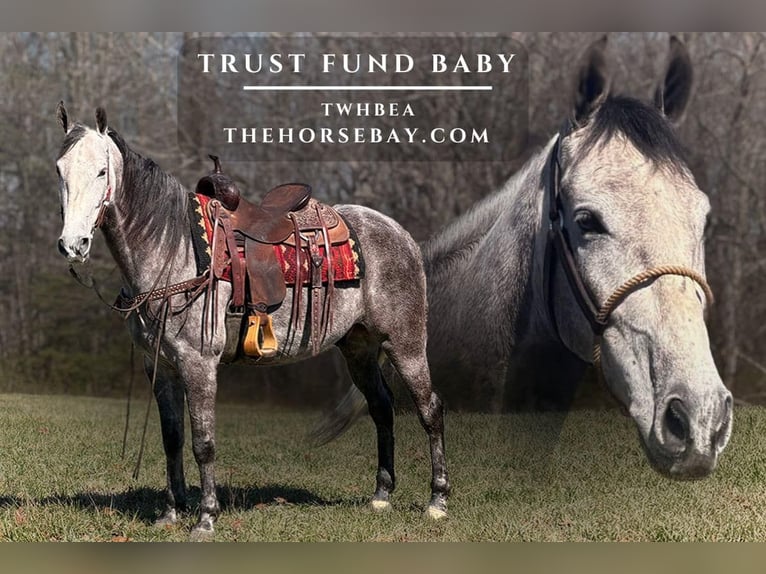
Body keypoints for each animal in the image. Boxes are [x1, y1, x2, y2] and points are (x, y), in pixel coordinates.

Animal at [54, 104, 449, 539]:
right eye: (60, 170)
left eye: (102, 171)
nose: (73, 244)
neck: (174, 249)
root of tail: (402, 235)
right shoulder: (159, 366)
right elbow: (172, 438)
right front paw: (170, 513)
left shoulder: (198, 363)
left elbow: (203, 442)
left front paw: (206, 518)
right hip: (359, 349)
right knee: (381, 407)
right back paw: (381, 497)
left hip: (405, 343)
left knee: (430, 409)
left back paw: (437, 502)